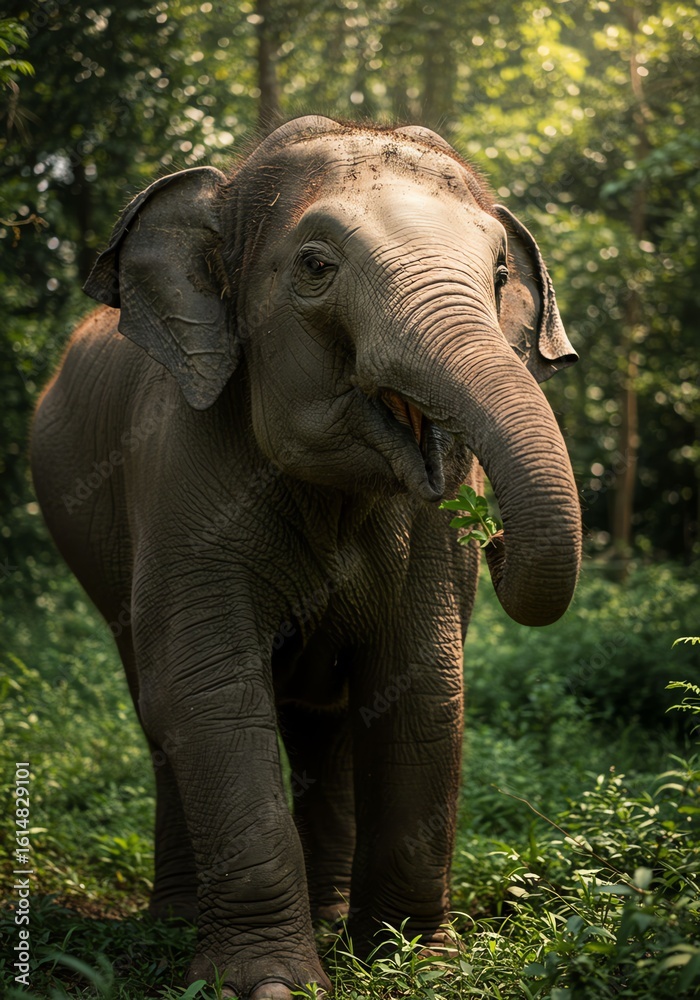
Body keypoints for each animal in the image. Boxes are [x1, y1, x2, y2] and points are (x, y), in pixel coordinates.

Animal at [31, 115, 582, 998]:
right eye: (316, 267)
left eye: (499, 273)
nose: (493, 540)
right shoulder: (179, 473)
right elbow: (210, 691)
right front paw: (267, 983)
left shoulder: (429, 537)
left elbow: (424, 687)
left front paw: (415, 963)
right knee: (158, 711)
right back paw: (176, 920)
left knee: (326, 726)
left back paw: (328, 919)